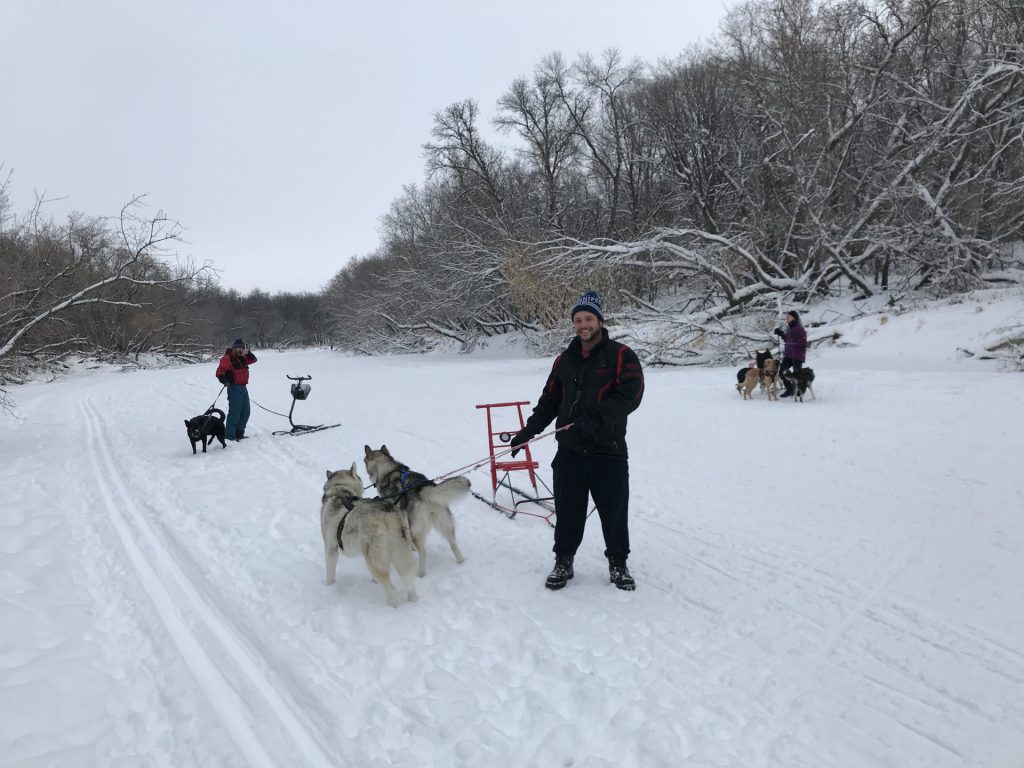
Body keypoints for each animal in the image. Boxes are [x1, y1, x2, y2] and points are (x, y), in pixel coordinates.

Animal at [317, 462, 417, 606]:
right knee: (409, 580)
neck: (340, 491)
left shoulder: (331, 549)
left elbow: (330, 575)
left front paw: (329, 587)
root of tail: (387, 511)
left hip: (373, 561)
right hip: (400, 552)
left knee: (391, 589)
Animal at [364, 444, 468, 577]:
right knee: (453, 544)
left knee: (423, 553)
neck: (387, 469)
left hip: (417, 531)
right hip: (445, 524)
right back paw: (461, 561)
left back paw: (420, 573)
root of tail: (423, 490)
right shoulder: (403, 514)